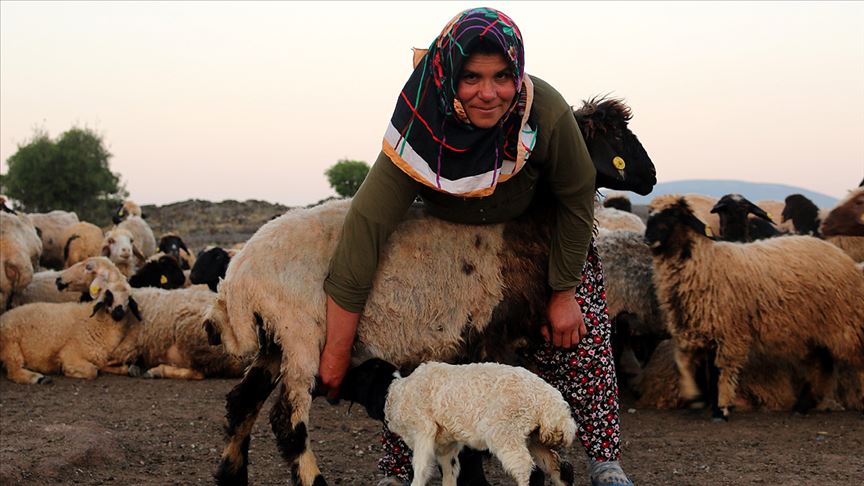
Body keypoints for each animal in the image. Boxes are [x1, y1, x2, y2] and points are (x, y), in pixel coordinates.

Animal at [0, 258, 142, 384]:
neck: (97, 322)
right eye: (109, 295)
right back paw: (38, 378)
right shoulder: (70, 354)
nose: (118, 312)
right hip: (11, 345)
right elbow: (93, 370)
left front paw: (126, 368)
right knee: (13, 370)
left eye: (128, 298)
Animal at [338, 356, 572, 486]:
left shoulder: (423, 431)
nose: (338, 387)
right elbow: (450, 474)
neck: (396, 393)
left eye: (360, 376)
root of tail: (554, 407)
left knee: (530, 473)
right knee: (560, 470)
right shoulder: (446, 445)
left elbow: (421, 470)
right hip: (534, 438)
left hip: (506, 432)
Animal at [640, 196, 864, 420]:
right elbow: (684, 362)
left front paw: (721, 408)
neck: (704, 263)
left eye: (674, 215)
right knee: (823, 365)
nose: (648, 239)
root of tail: (845, 259)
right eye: (650, 214)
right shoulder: (696, 327)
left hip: (842, 323)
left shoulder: (729, 332)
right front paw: (695, 398)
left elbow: (722, 370)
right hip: (813, 329)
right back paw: (802, 406)